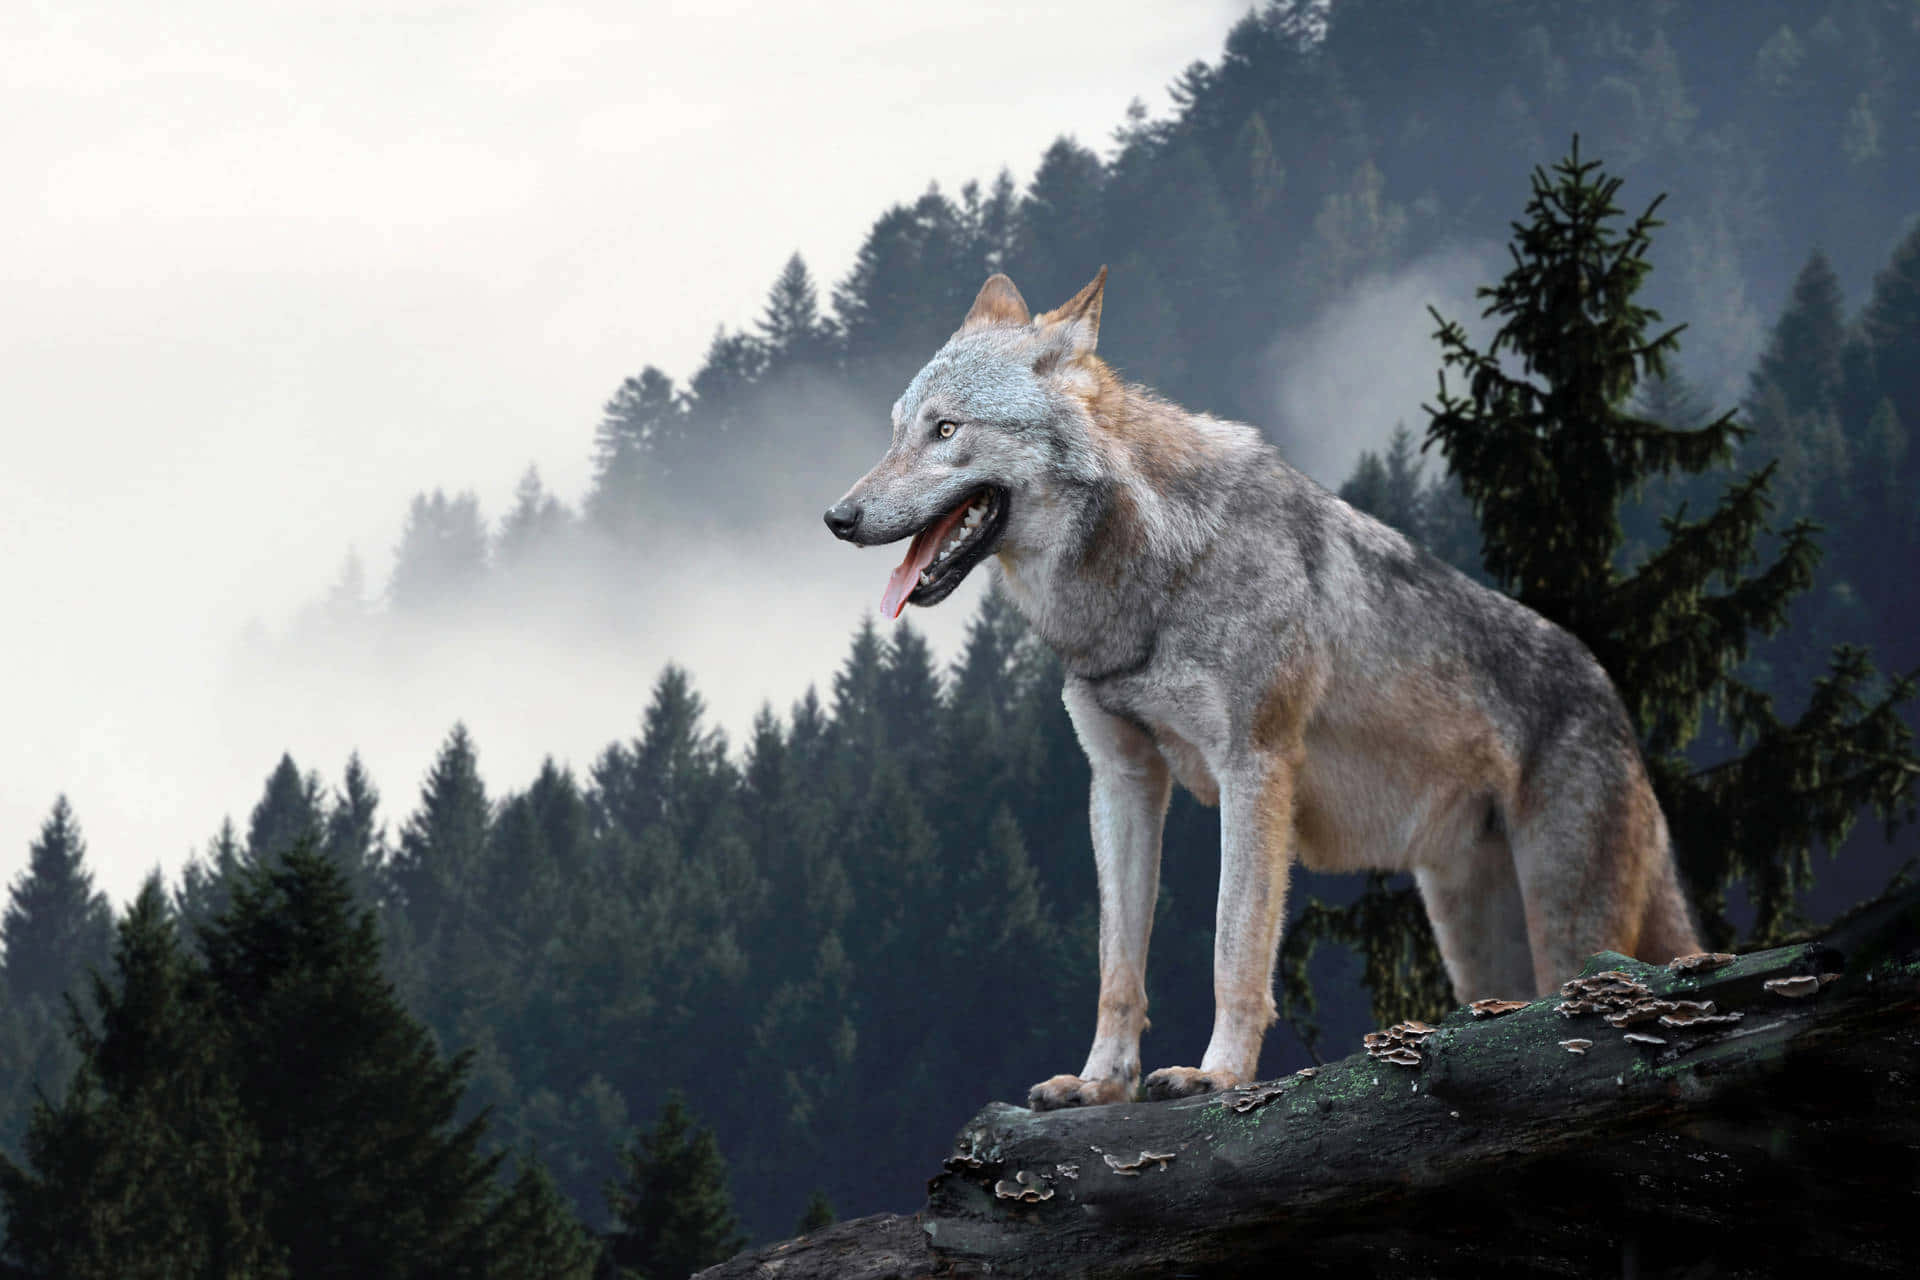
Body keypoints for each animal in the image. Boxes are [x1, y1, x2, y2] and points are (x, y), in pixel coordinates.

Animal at [824, 268, 1701, 1109]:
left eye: (946, 430)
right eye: (897, 430)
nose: (837, 517)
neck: (1153, 576)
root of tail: (1615, 700)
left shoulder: (1254, 768)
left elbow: (1233, 946)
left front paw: (1217, 1076)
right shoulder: (1121, 779)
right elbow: (1118, 966)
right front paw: (1100, 1084)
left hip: (1567, 929)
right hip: (1476, 944)